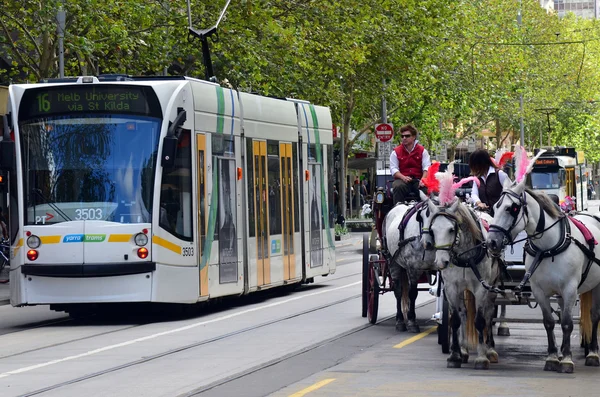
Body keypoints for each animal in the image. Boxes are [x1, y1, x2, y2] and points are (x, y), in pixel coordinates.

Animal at [424, 198, 500, 368]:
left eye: (451, 229)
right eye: (432, 230)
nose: (441, 262)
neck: (466, 257)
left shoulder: (481, 289)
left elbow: (480, 321)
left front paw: (481, 357)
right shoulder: (451, 288)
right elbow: (456, 320)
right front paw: (455, 355)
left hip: (492, 288)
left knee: (489, 314)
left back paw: (490, 349)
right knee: (464, 314)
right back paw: (464, 350)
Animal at [486, 179, 600, 372]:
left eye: (512, 208)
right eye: (495, 207)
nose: (491, 242)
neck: (548, 248)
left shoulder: (570, 289)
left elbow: (568, 323)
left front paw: (567, 360)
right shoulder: (539, 290)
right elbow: (549, 322)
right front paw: (553, 357)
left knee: (594, 316)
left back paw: (592, 353)